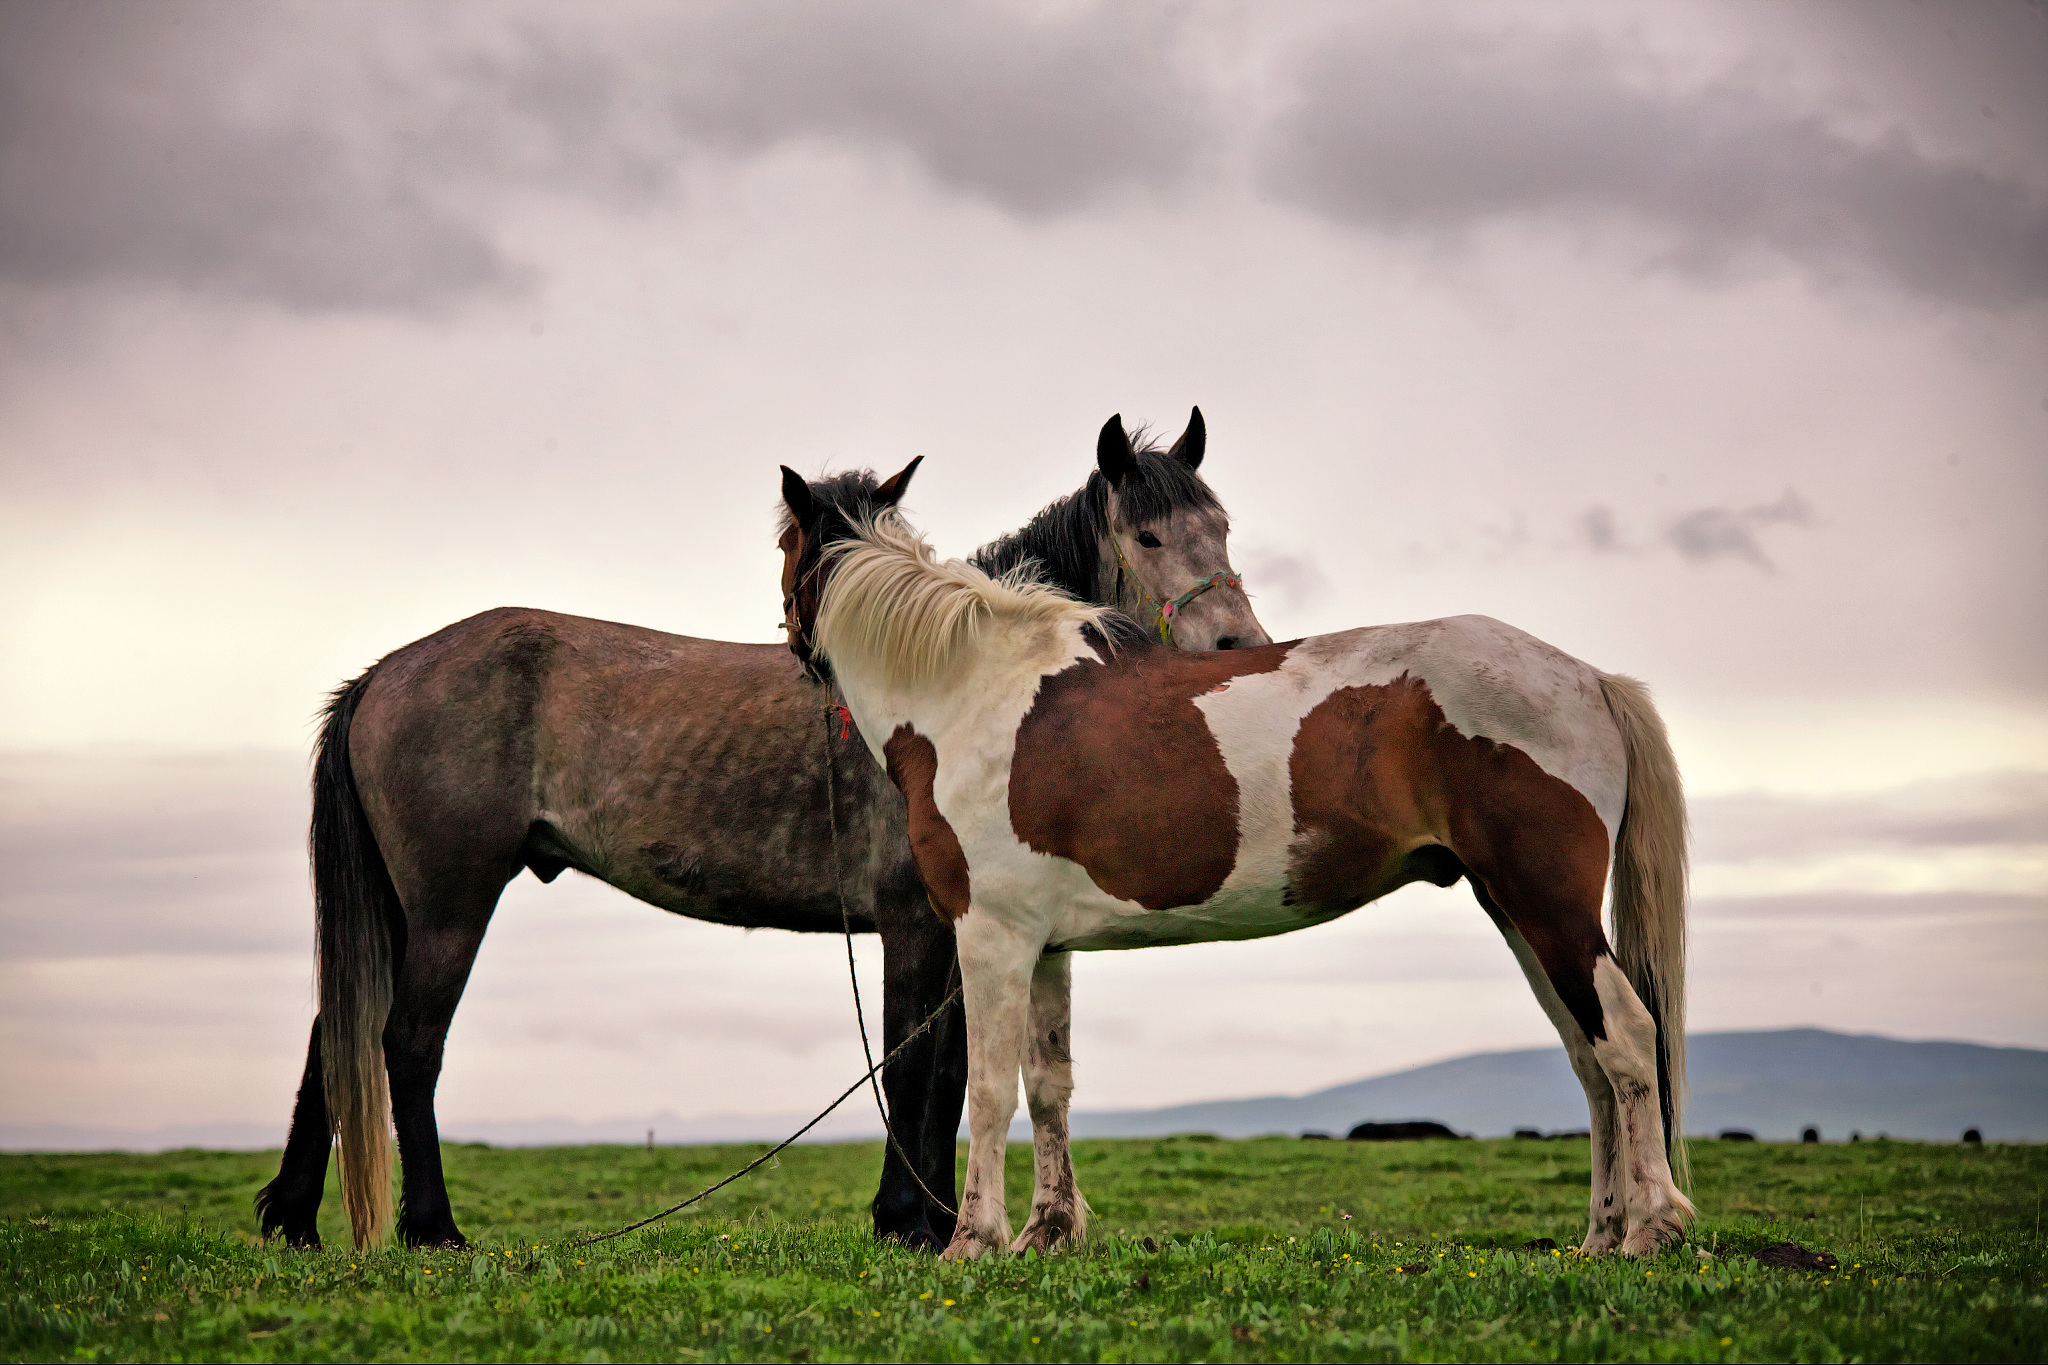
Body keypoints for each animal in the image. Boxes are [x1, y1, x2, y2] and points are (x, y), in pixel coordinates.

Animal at [255, 409, 1270, 1252]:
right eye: (1147, 534)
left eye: (1219, 528)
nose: (1241, 649)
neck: (957, 678)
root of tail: (384, 672)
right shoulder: (914, 923)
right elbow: (915, 1071)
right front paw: (907, 1220)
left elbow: (945, 1076)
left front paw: (935, 1215)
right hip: (451, 901)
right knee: (408, 1042)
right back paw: (432, 1228)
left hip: (401, 907)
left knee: (335, 1036)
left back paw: (292, 1219)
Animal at [777, 482, 1695, 1262]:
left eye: (785, 544)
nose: (796, 654)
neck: (975, 688)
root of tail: (1588, 678)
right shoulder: (1044, 946)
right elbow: (1048, 1085)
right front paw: (1047, 1234)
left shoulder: (991, 935)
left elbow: (991, 1090)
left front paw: (972, 1242)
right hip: (1517, 912)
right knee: (1589, 1059)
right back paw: (1603, 1236)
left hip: (1549, 906)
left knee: (1627, 1036)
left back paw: (1655, 1226)